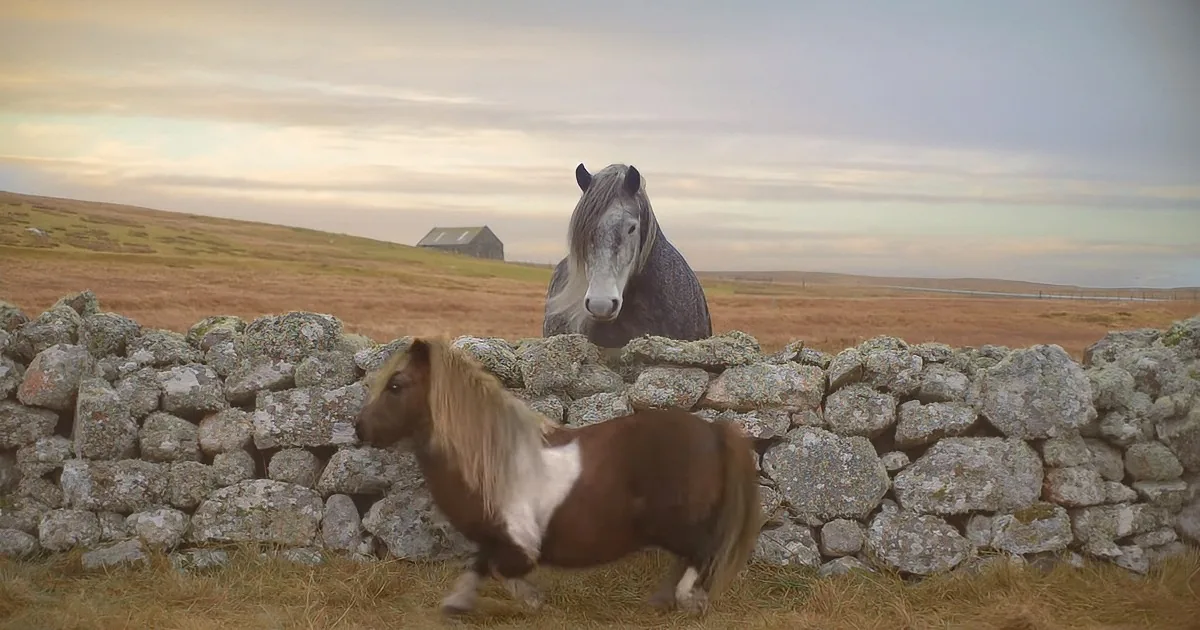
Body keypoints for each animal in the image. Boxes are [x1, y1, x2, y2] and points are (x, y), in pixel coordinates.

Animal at [354, 335, 762, 617]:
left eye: (396, 385)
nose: (360, 428)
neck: (494, 461)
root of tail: (714, 431)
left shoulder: (519, 542)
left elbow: (500, 568)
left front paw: (533, 600)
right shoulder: (492, 538)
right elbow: (478, 566)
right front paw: (458, 603)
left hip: (678, 524)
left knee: (701, 554)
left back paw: (688, 599)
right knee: (688, 559)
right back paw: (665, 600)